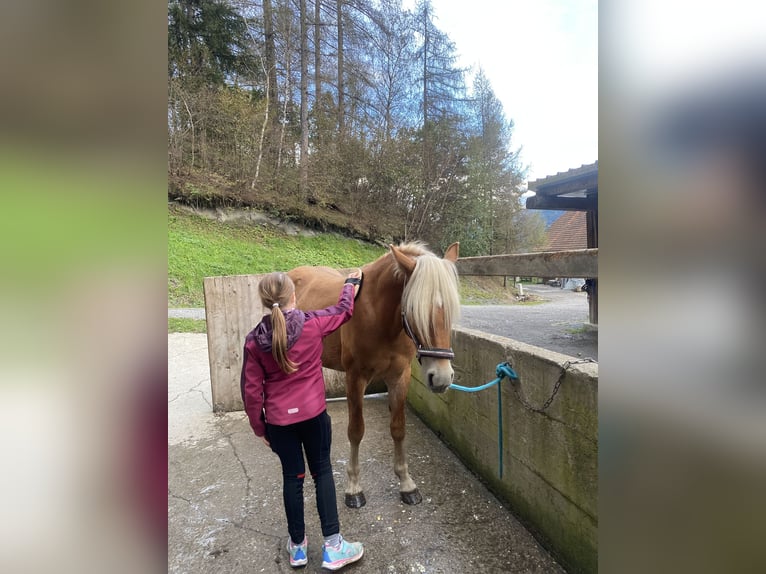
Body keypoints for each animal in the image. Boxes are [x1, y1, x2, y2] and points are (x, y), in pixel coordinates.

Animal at [286, 243, 460, 508]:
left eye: (451, 311)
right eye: (413, 309)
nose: (441, 378)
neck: (380, 317)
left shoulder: (399, 377)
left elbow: (398, 428)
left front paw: (406, 483)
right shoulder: (355, 378)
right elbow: (356, 431)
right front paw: (353, 487)